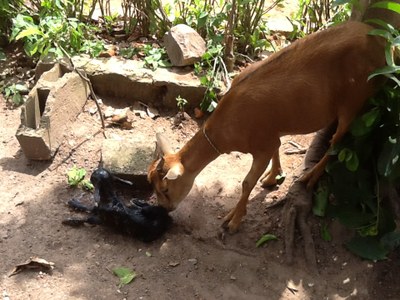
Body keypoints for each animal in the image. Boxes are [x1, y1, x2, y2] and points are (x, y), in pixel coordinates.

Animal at [148, 21, 386, 233]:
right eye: (152, 182)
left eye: (165, 189)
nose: (164, 208)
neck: (227, 130)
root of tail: (384, 44)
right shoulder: (271, 134)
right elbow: (277, 148)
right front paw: (273, 177)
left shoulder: (261, 144)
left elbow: (246, 182)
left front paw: (232, 221)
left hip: (355, 101)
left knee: (337, 140)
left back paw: (309, 177)